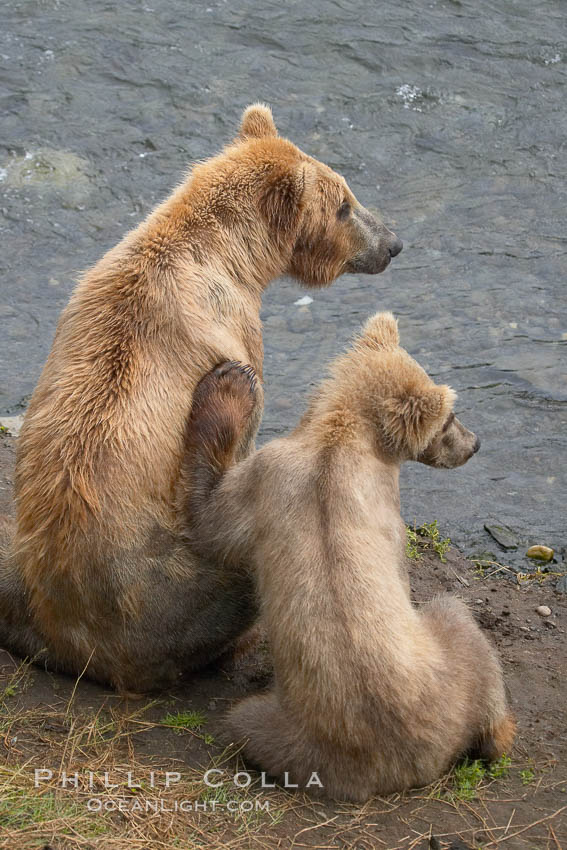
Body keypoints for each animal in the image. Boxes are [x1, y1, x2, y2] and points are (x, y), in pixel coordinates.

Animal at [0, 104, 404, 688]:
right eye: (345, 205)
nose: (393, 242)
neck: (231, 257)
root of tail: (77, 645)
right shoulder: (233, 324)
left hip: (24, 563)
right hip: (170, 591)